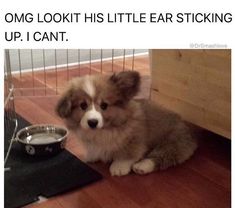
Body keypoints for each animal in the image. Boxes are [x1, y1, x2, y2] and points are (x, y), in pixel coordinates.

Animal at [56, 71, 197, 176]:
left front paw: (119, 167)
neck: (104, 129)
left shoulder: (134, 140)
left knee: (163, 156)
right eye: (83, 105)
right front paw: (92, 156)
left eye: (104, 105)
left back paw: (142, 166)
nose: (92, 122)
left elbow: (127, 155)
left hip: (172, 142)